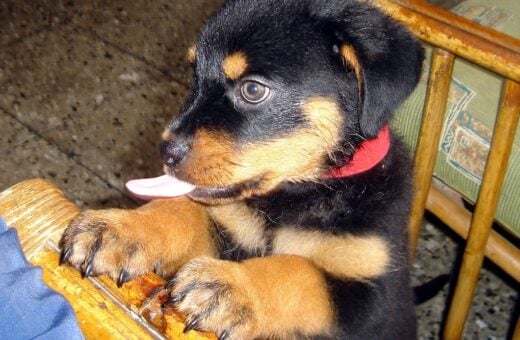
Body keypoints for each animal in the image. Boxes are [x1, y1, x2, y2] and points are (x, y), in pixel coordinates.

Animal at [60, 1, 422, 338]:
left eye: (252, 90)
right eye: (195, 76)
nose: (165, 151)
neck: (293, 197)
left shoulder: (375, 301)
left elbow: (299, 272)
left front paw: (228, 287)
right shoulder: (227, 228)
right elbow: (184, 209)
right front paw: (122, 228)